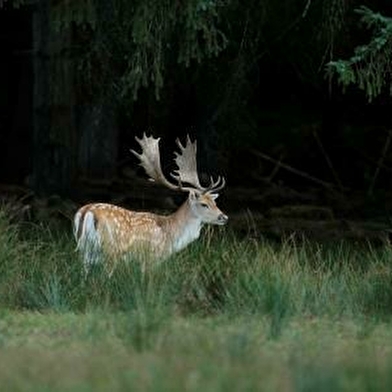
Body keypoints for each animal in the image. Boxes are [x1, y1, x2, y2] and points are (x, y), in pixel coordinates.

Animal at [73, 133, 227, 274]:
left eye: (214, 202)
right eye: (204, 204)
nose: (224, 217)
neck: (171, 235)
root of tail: (86, 212)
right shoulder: (151, 258)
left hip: (85, 251)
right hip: (110, 250)